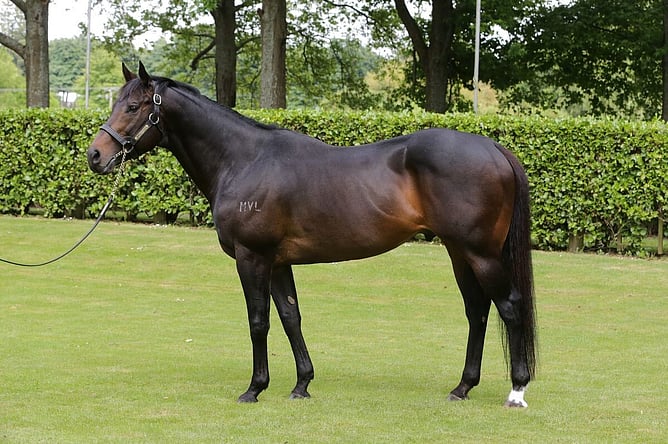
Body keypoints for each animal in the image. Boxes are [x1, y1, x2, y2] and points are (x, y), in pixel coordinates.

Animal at [87, 62, 537, 408]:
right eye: (116, 102)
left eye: (133, 106)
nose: (95, 155)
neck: (244, 160)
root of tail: (493, 148)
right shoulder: (278, 261)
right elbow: (291, 317)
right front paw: (302, 384)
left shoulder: (253, 257)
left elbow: (258, 321)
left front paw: (254, 388)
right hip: (459, 253)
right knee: (477, 311)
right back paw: (462, 387)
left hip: (480, 253)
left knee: (509, 307)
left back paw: (516, 391)